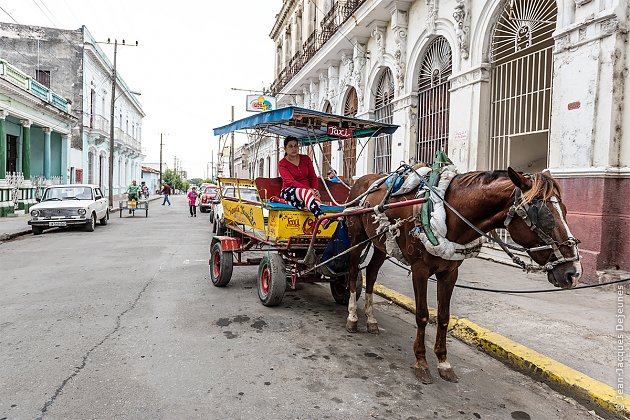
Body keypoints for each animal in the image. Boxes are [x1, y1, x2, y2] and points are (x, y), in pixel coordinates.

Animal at [346, 167, 584, 384]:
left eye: (565, 210)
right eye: (543, 215)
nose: (574, 273)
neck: (448, 213)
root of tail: (359, 182)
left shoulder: (450, 273)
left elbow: (443, 317)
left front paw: (443, 362)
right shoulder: (420, 270)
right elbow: (422, 315)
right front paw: (421, 362)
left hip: (381, 244)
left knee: (371, 274)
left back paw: (371, 320)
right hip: (356, 237)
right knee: (352, 274)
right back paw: (353, 317)